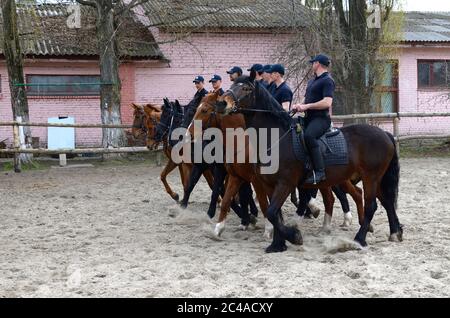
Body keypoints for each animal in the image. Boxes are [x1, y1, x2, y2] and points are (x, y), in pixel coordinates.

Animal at [216, 72, 402, 253]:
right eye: (232, 85)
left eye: (246, 88)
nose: (221, 103)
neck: (276, 138)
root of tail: (385, 134)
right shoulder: (269, 184)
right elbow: (275, 214)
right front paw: (278, 245)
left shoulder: (286, 183)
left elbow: (271, 212)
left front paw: (294, 236)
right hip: (376, 179)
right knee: (386, 201)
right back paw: (395, 232)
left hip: (371, 177)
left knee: (371, 205)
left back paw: (359, 239)